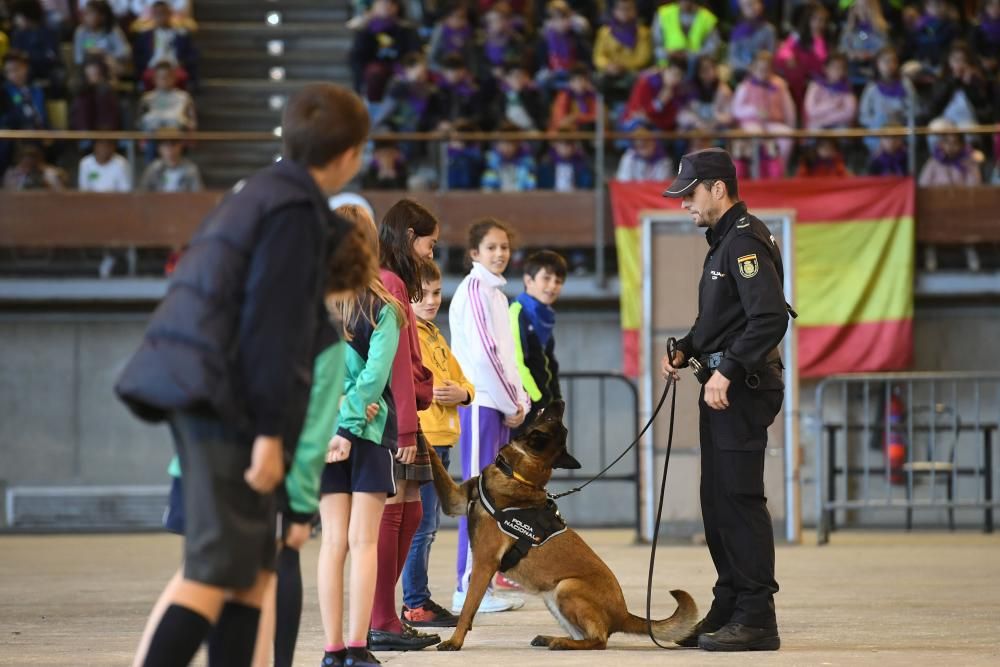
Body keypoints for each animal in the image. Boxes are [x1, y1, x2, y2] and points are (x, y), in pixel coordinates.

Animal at [428, 400, 696, 648]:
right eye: (556, 420)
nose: (560, 401)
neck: (519, 477)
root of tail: (623, 614)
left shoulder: (485, 562)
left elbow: (468, 609)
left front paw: (455, 641)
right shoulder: (454, 501)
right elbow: (436, 464)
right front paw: (424, 433)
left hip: (567, 587)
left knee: (599, 640)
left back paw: (561, 642)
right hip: (553, 597)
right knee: (586, 635)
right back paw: (552, 638)